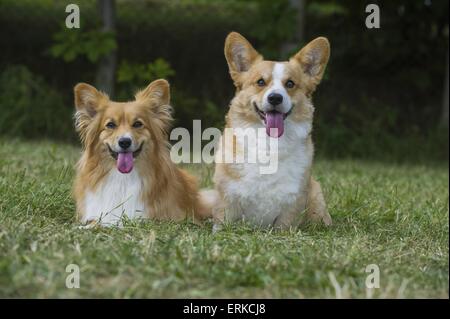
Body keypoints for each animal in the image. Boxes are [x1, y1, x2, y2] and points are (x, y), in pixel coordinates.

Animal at [213, 31, 332, 230]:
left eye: (290, 84)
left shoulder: (293, 203)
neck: (269, 142)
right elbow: (222, 222)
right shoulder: (227, 199)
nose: (275, 98)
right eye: (260, 82)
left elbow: (284, 225)